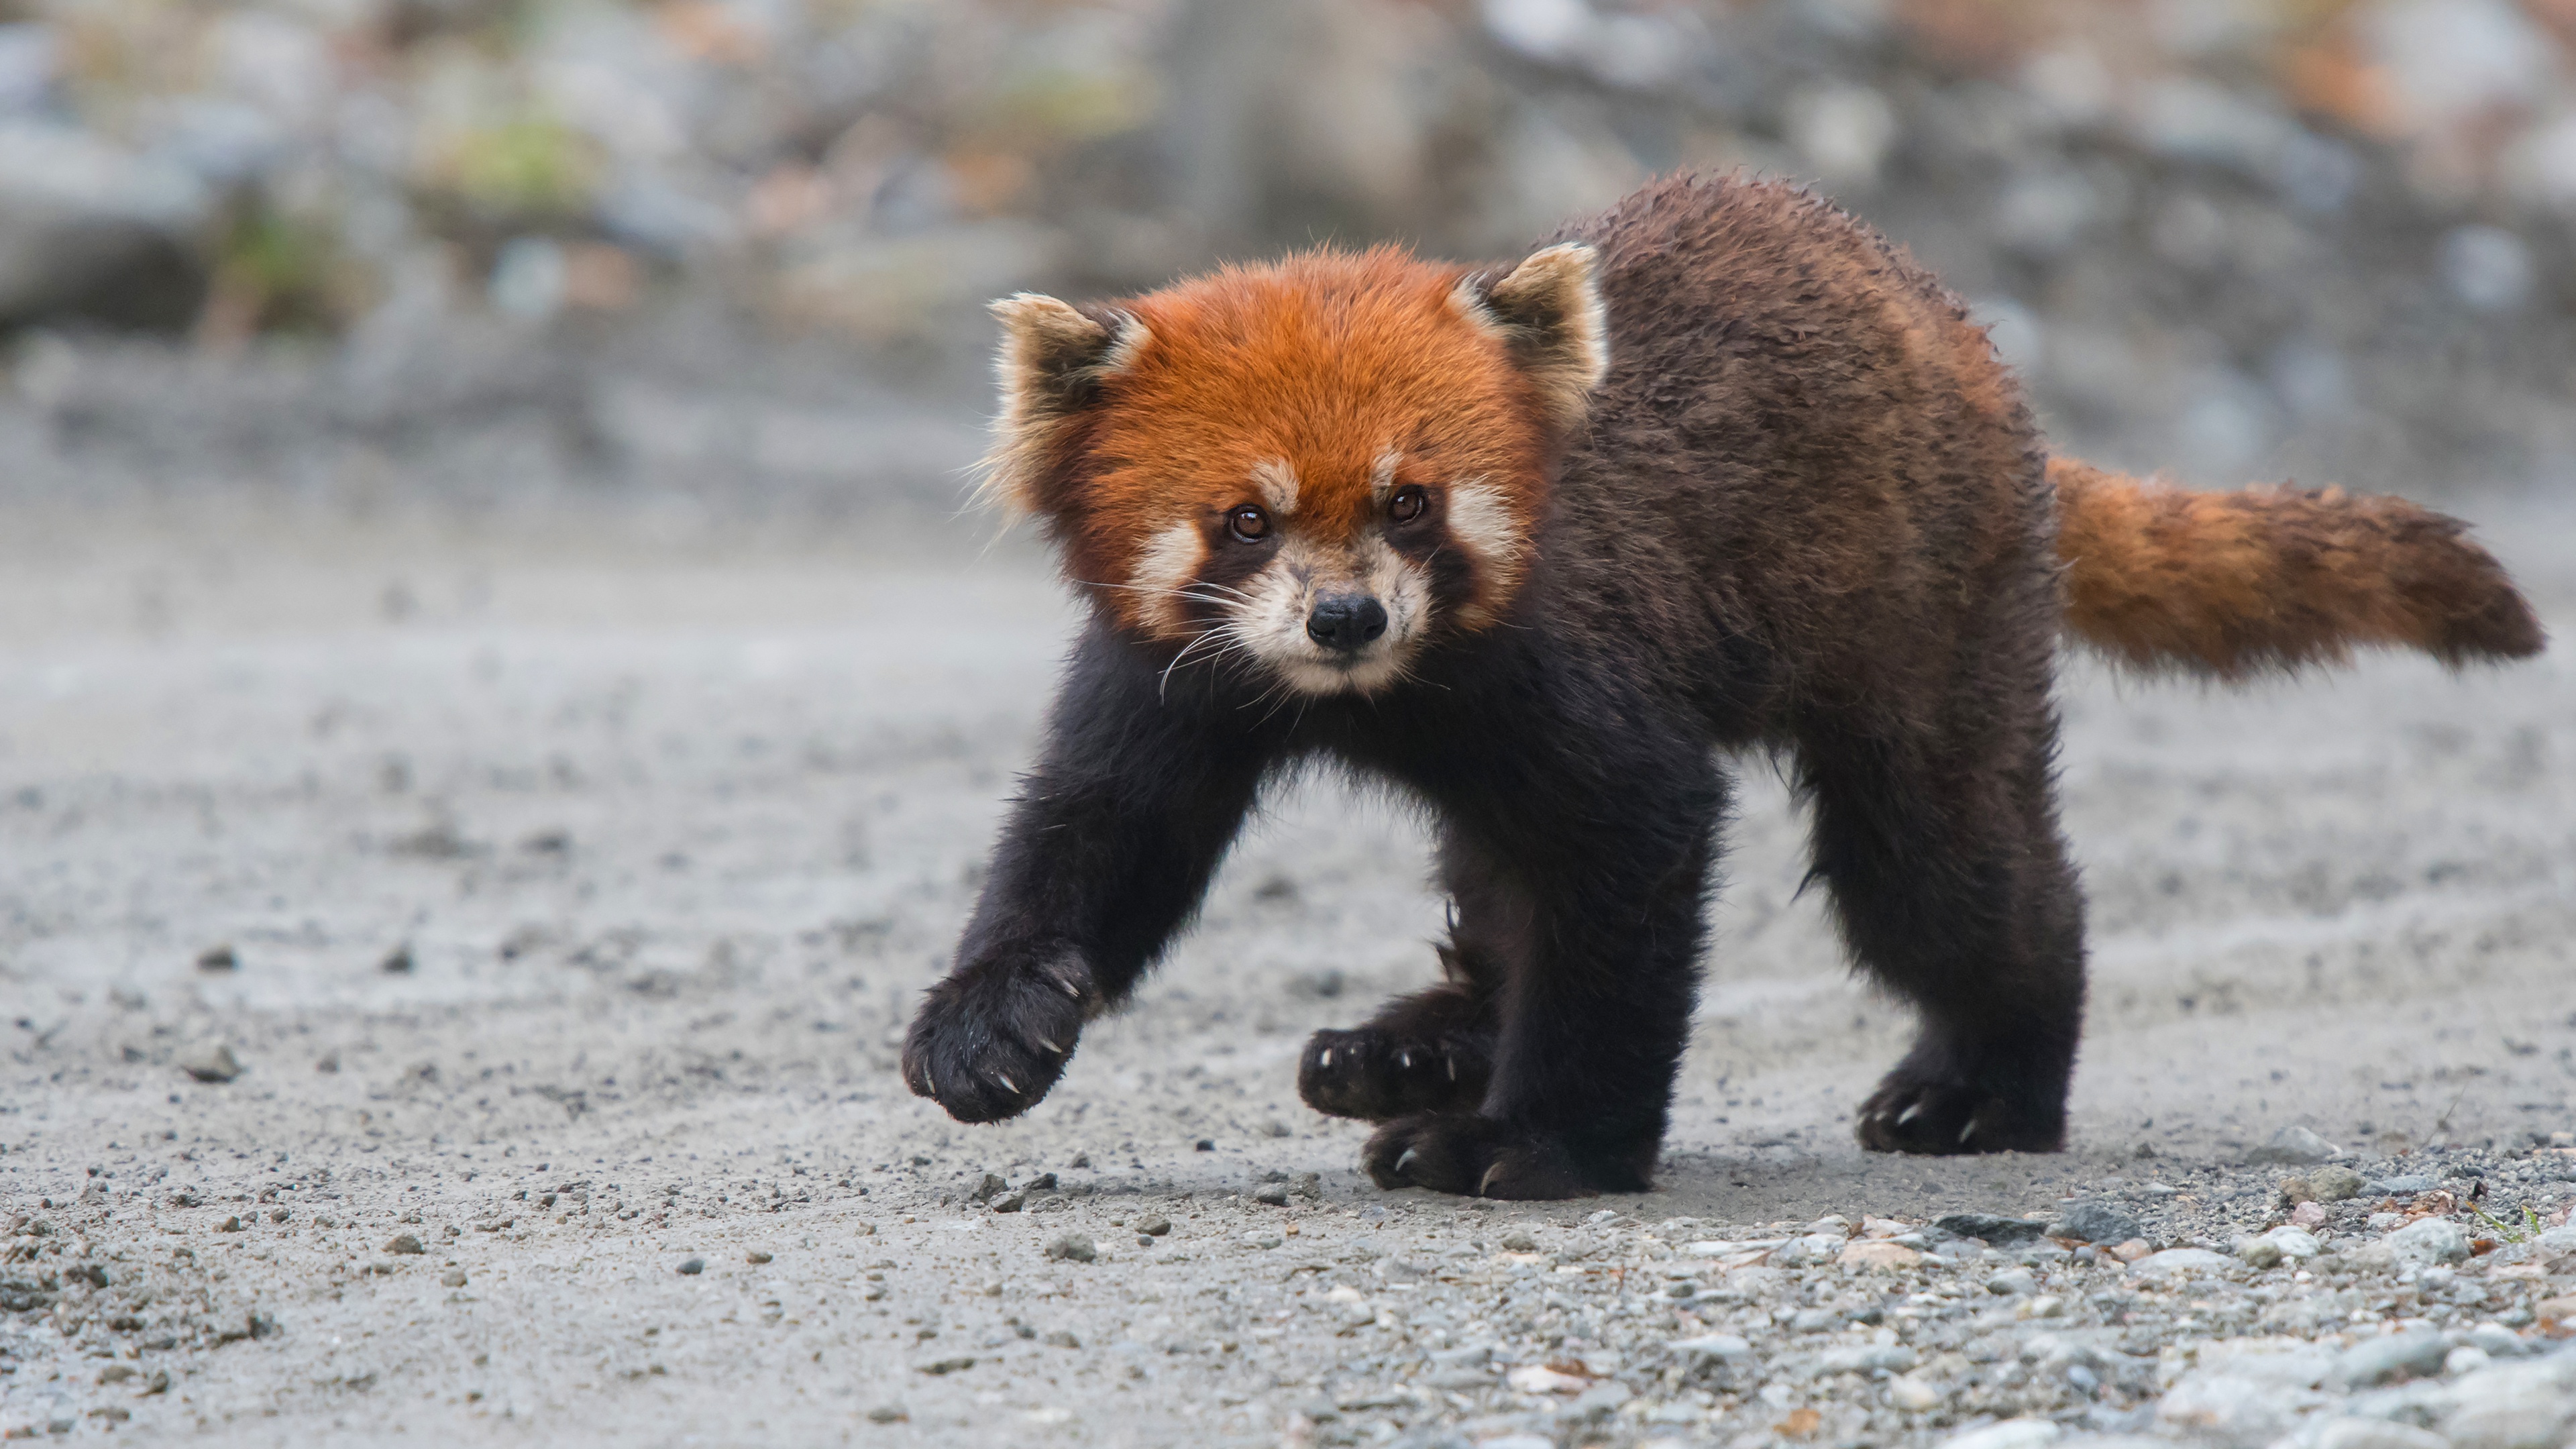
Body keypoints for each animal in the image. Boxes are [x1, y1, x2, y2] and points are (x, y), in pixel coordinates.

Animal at [902, 171, 2534, 1196]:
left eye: (1412, 504)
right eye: (1247, 521)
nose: (1349, 616)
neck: (1366, 701)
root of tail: (1968, 343)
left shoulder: (1576, 670)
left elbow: (1630, 875)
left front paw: (1540, 1145)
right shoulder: (1170, 672)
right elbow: (1098, 836)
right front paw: (991, 1025)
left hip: (1930, 621)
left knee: (1946, 875)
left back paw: (1984, 1086)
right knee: (1493, 874)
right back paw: (1412, 1048)